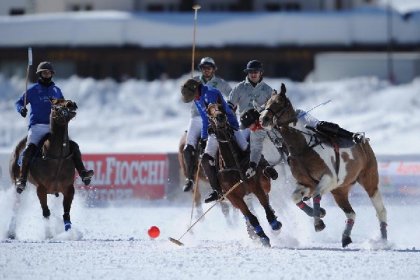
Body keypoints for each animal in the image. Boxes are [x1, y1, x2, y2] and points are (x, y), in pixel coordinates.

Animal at [9, 98, 79, 234]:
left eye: (65, 100)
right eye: (56, 105)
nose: (72, 103)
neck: (58, 157)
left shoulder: (68, 188)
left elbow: (66, 213)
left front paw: (69, 233)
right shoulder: (41, 188)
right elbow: (46, 213)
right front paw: (48, 234)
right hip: (17, 183)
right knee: (16, 207)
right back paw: (11, 232)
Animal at [207, 103, 282, 247]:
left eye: (221, 106)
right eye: (208, 112)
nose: (220, 117)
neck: (233, 163)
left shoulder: (256, 186)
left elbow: (265, 206)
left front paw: (275, 224)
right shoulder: (234, 197)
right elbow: (251, 217)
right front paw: (263, 237)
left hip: (264, 182)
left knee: (267, 197)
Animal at [260, 85, 388, 247]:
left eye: (279, 102)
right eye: (266, 103)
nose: (263, 119)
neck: (303, 147)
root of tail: (364, 141)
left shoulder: (329, 179)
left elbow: (316, 195)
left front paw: (318, 223)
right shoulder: (306, 183)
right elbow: (295, 197)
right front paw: (320, 213)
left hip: (369, 180)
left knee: (380, 210)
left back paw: (383, 241)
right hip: (340, 190)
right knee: (351, 213)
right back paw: (346, 237)